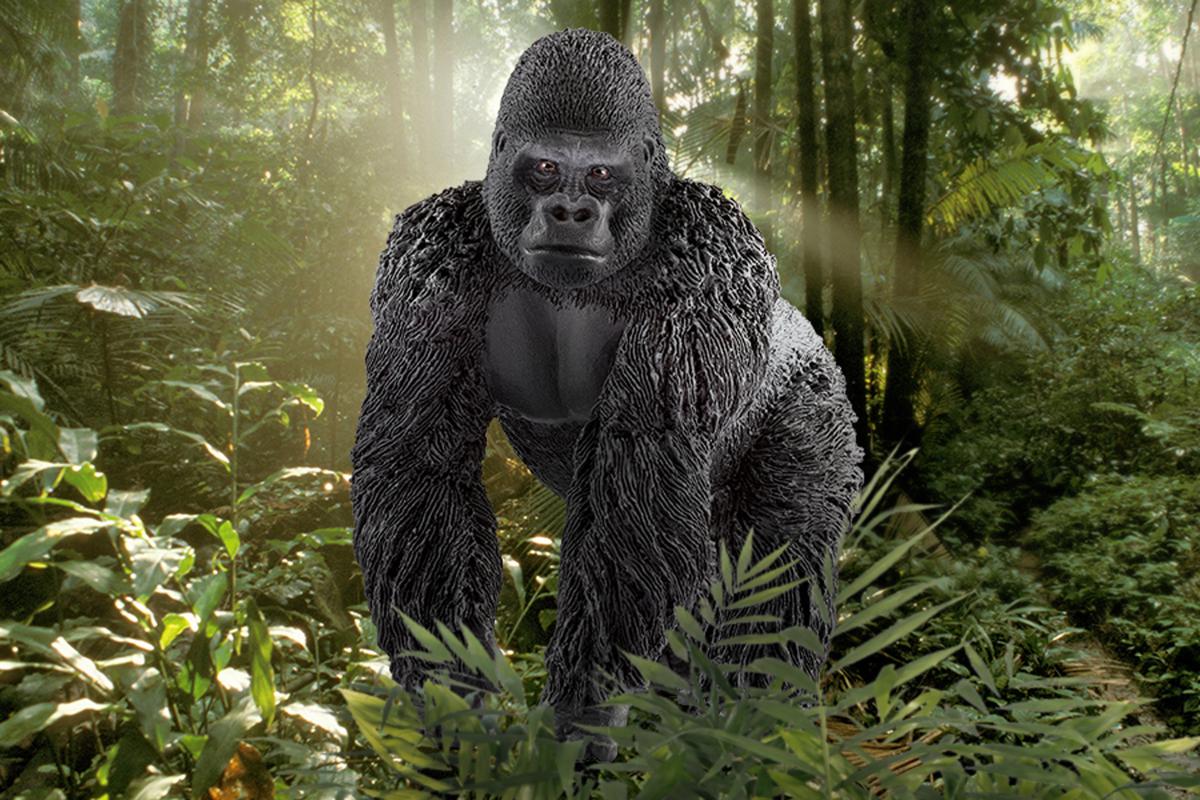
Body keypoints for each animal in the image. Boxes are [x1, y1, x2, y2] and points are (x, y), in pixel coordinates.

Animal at [350, 28, 864, 764]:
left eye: (598, 175)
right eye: (543, 169)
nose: (571, 211)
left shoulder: (709, 250)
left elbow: (643, 471)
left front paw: (582, 713)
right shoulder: (426, 254)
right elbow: (420, 468)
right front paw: (455, 694)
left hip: (817, 404)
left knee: (776, 575)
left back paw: (753, 734)